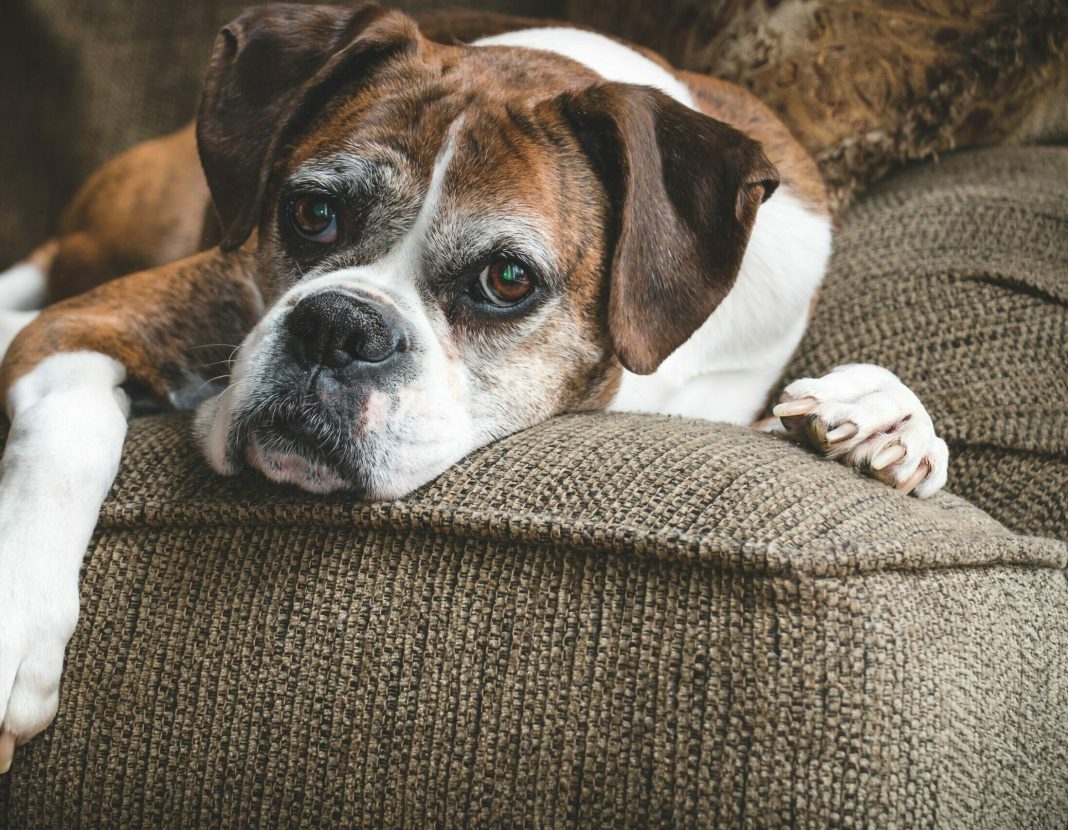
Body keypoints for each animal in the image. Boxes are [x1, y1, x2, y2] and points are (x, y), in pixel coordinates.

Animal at [0, 4, 952, 769]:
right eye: (311, 213)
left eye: (506, 279)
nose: (339, 327)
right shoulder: (83, 326)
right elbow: (67, 441)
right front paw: (18, 624)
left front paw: (881, 421)